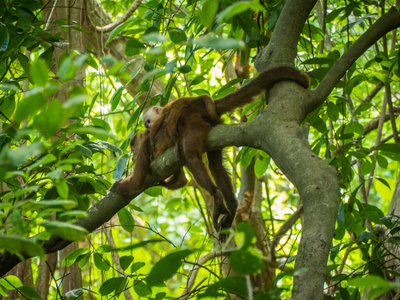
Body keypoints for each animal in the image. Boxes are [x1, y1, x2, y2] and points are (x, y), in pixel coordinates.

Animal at [112, 67, 310, 238]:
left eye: (134, 151)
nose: (133, 158)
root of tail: (199, 106)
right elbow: (181, 180)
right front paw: (163, 182)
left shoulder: (146, 144)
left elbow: (138, 182)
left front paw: (118, 186)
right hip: (214, 127)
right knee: (215, 164)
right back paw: (231, 204)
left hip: (191, 122)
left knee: (189, 154)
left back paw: (215, 194)